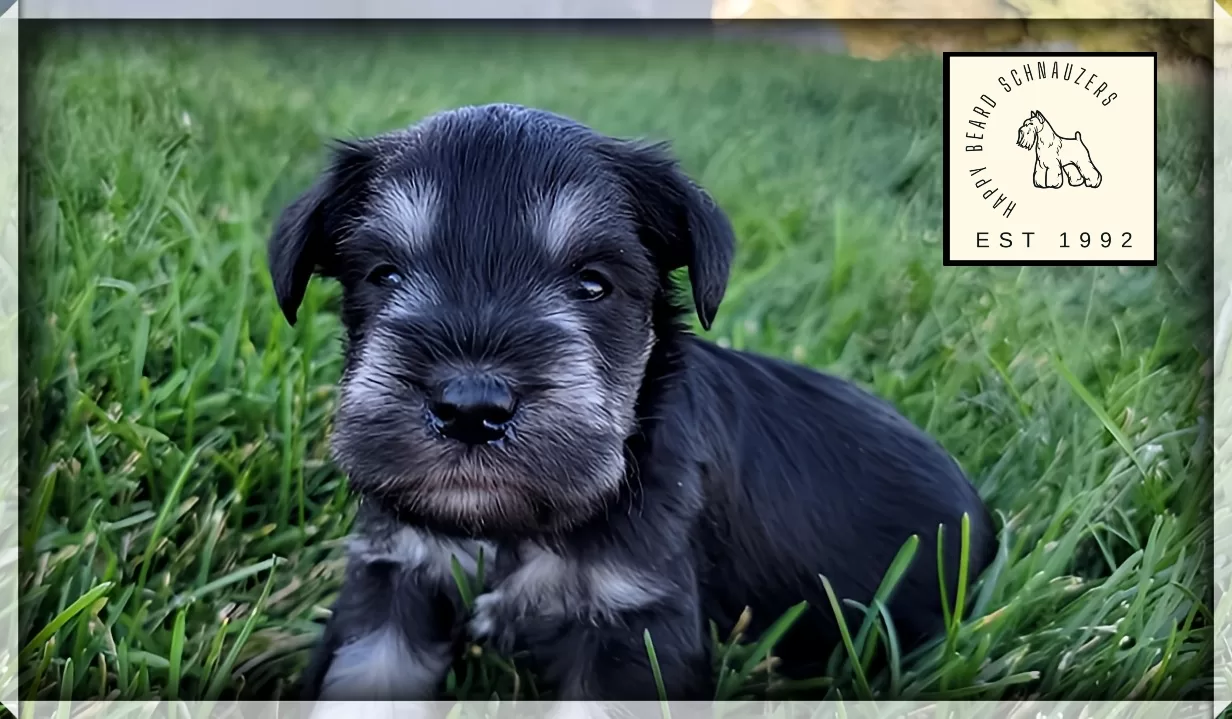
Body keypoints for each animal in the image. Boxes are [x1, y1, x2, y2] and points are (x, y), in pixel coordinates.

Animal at [272, 102, 1000, 704]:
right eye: (384, 274)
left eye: (593, 283)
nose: (470, 408)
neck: (509, 531)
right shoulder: (391, 587)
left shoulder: (635, 630)